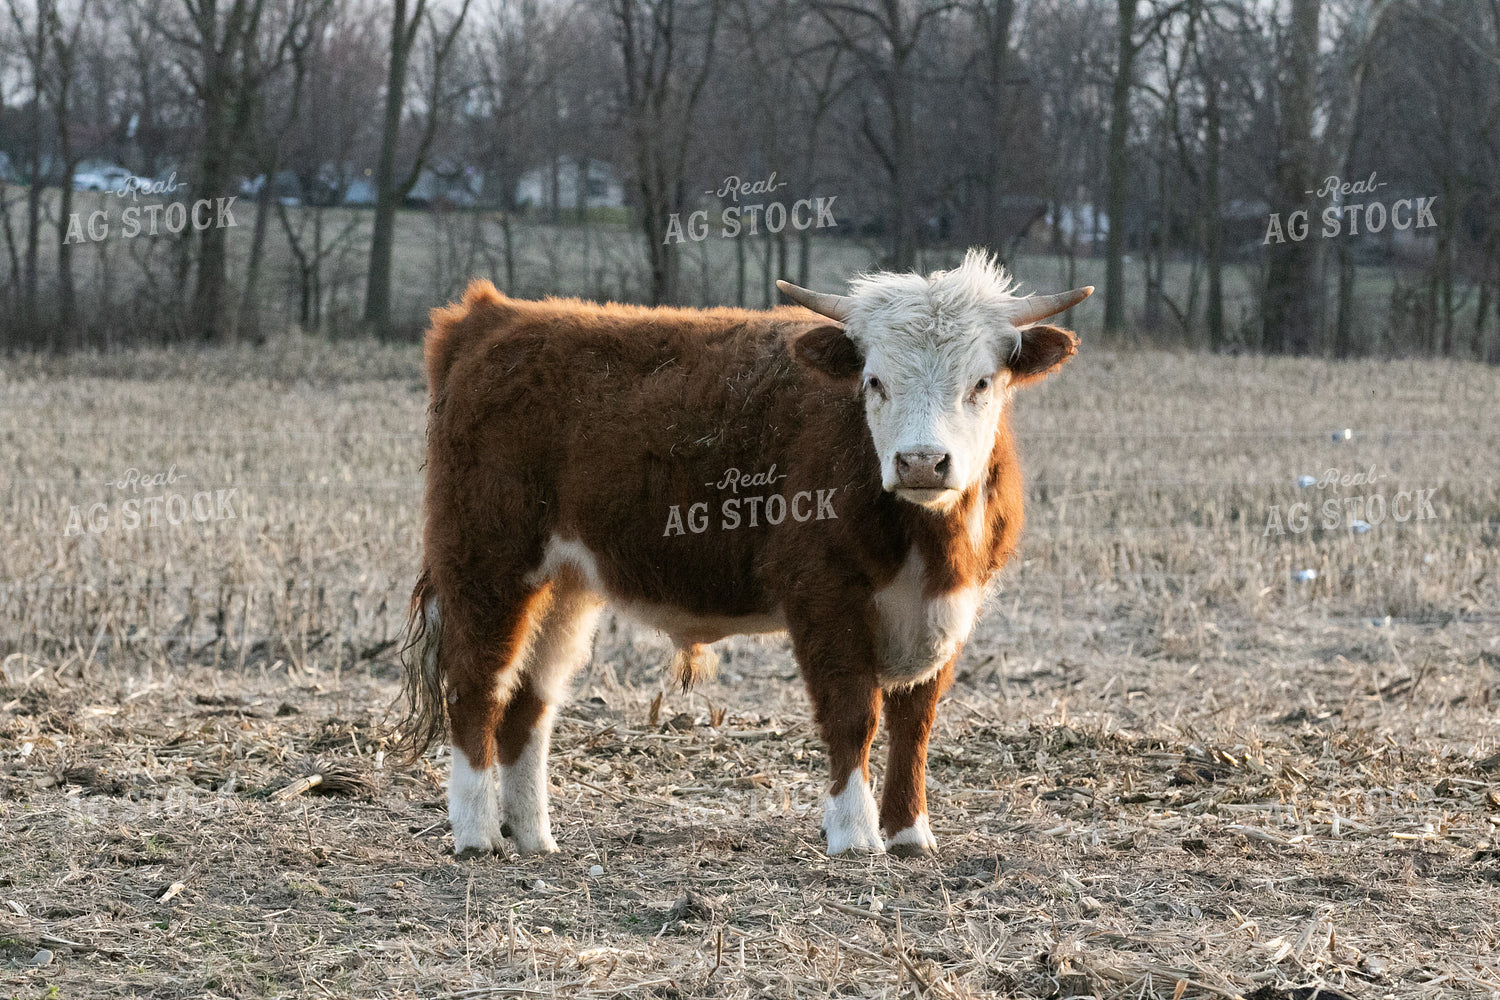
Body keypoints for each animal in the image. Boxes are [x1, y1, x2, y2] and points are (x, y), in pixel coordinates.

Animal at [399, 248, 1089, 858]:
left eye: (981, 382)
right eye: (875, 381)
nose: (921, 462)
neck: (926, 544)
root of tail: (494, 316)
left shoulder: (947, 609)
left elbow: (914, 723)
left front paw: (910, 834)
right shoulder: (822, 596)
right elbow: (853, 714)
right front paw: (854, 834)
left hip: (565, 584)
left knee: (530, 703)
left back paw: (535, 838)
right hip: (487, 566)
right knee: (477, 687)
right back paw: (476, 835)